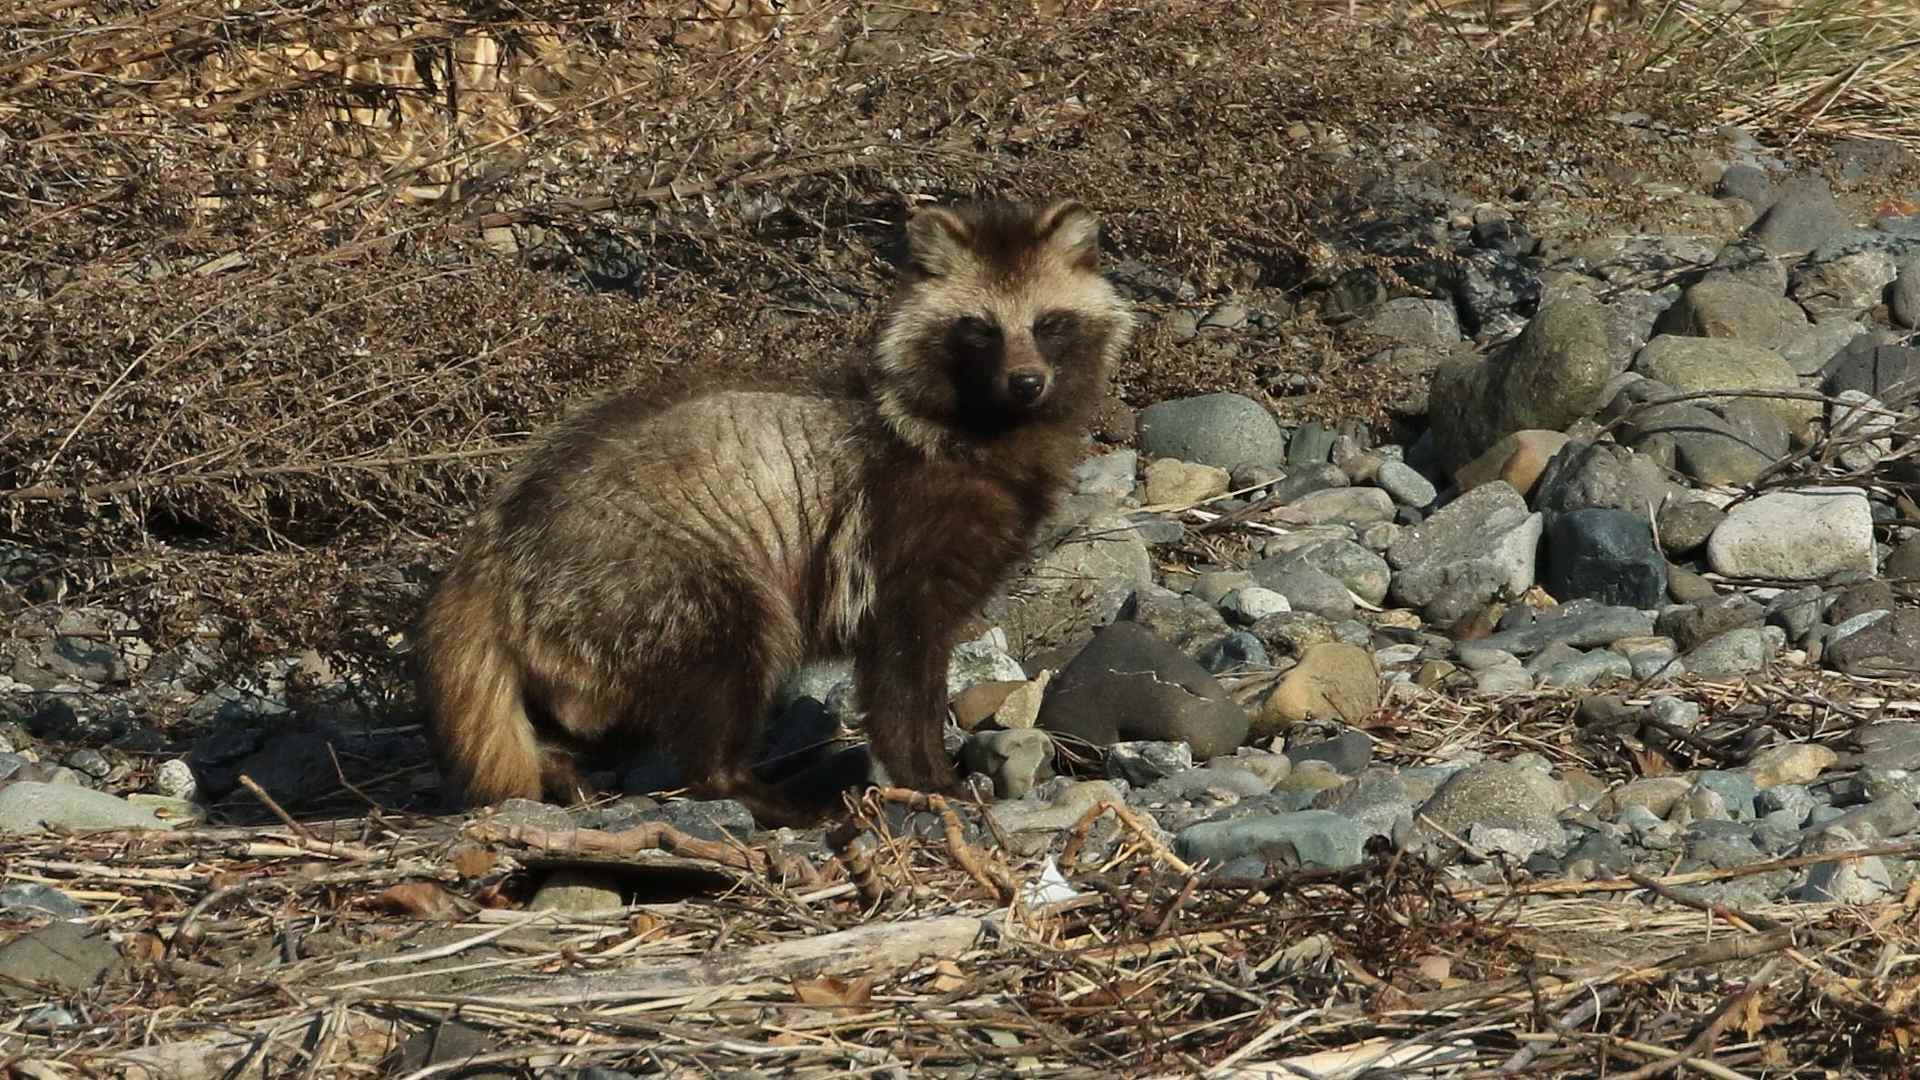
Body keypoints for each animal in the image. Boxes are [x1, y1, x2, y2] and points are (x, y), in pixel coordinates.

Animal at [418, 197, 1128, 818]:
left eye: (1049, 324)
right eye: (980, 329)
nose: (1027, 383)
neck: (990, 424)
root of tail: (495, 548)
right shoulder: (897, 530)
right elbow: (902, 672)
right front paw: (928, 775)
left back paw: (563, 763)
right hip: (650, 571)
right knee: (729, 654)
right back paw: (740, 786)